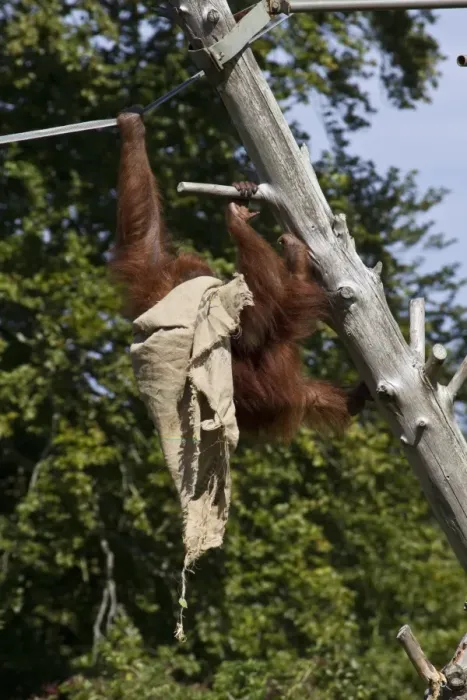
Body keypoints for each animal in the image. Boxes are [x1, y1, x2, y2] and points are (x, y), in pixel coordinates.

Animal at [110, 107, 370, 441]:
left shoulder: (153, 276)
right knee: (278, 330)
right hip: (271, 385)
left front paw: (131, 129)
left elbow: (144, 236)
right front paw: (237, 221)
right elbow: (251, 333)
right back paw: (296, 267)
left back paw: (351, 399)